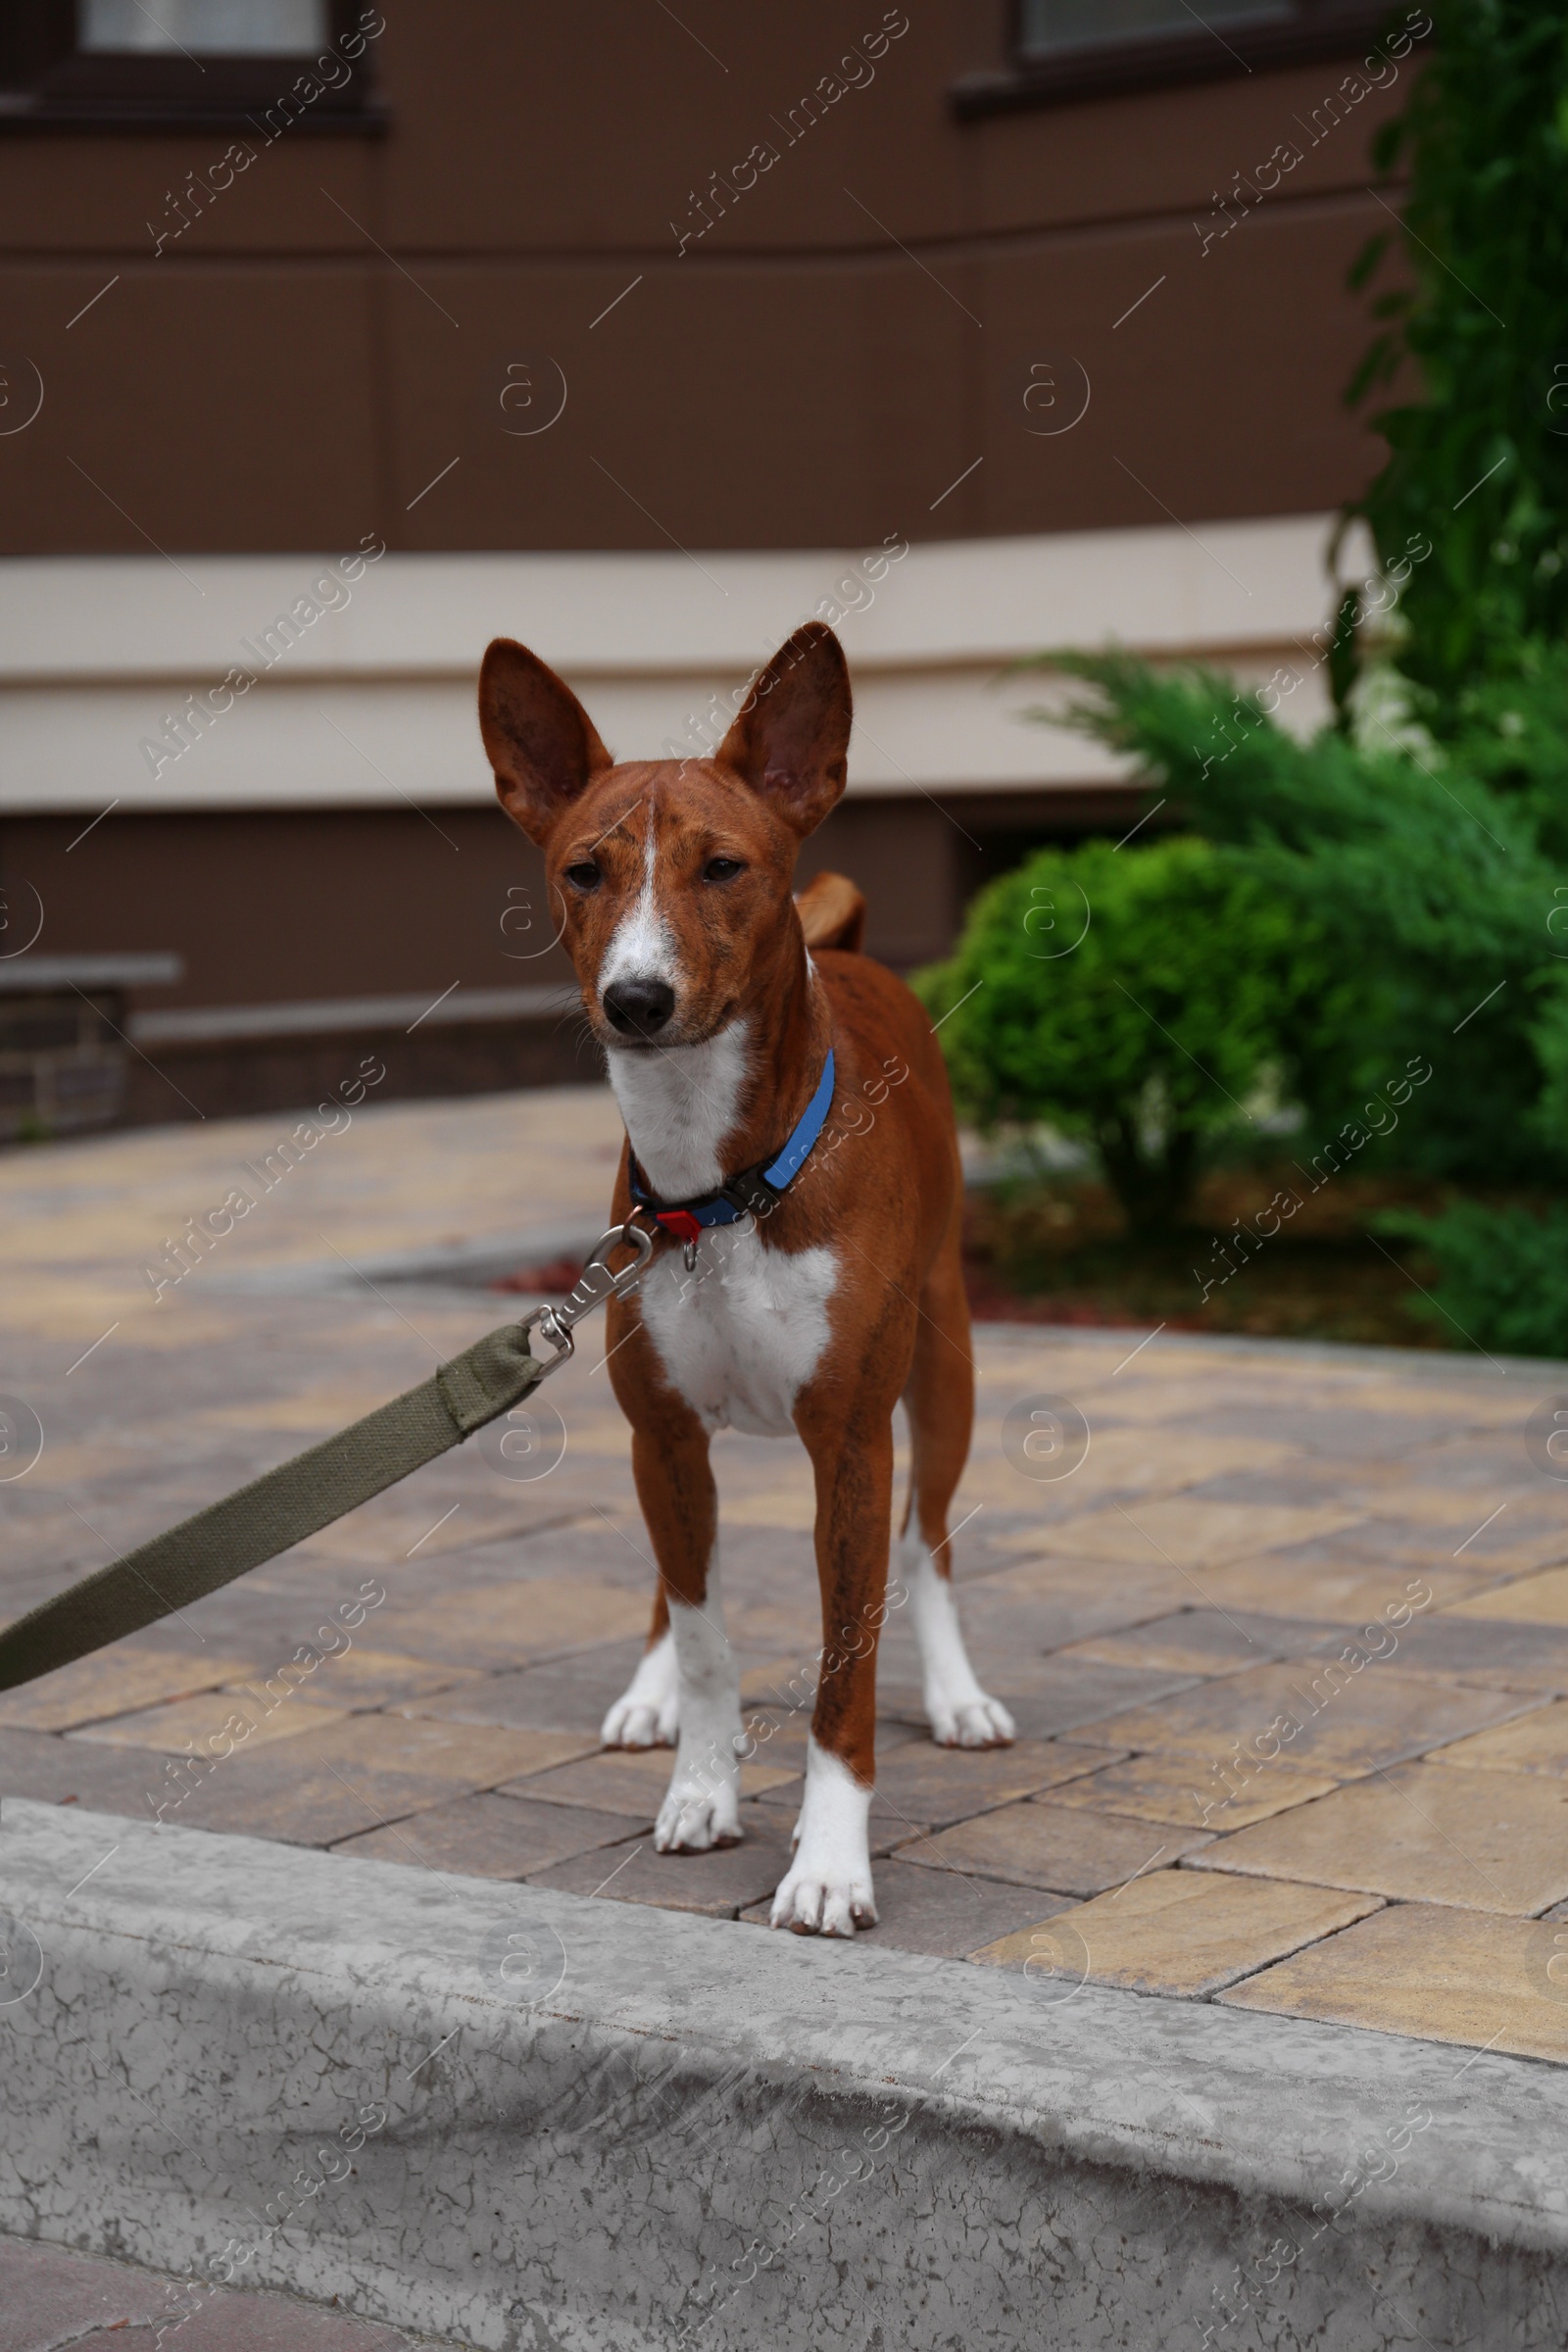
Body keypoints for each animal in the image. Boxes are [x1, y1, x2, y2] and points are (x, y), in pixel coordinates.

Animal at [479, 615, 1020, 1937]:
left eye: (723, 867)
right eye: (584, 872)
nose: (635, 998)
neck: (720, 1189)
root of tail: (853, 952)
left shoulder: (852, 1445)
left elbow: (844, 1670)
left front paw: (827, 1865)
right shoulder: (665, 1434)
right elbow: (706, 1633)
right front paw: (700, 1786)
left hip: (944, 1368)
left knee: (930, 1545)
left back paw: (958, 1694)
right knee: (681, 1586)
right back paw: (651, 1693)